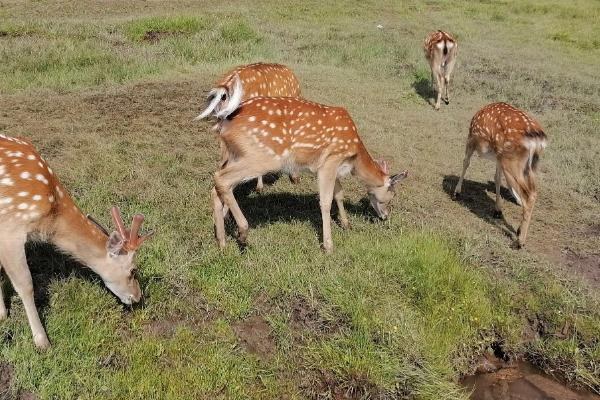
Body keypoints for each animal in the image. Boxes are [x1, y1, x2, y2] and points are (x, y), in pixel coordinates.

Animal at [0, 134, 152, 346]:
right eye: (133, 270)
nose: (138, 297)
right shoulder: (10, 227)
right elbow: (26, 284)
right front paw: (42, 342)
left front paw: (2, 315)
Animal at [210, 95, 408, 252]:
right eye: (391, 196)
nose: (385, 216)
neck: (354, 157)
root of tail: (223, 123)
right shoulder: (330, 160)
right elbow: (325, 202)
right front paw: (328, 245)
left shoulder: (330, 166)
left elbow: (339, 194)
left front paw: (346, 224)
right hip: (262, 156)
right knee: (221, 178)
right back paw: (242, 233)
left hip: (234, 155)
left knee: (216, 186)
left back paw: (222, 242)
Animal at [454, 103, 548, 247]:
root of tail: (537, 140)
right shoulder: (498, 158)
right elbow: (497, 178)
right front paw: (497, 210)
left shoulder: (471, 139)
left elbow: (466, 162)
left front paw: (457, 192)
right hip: (529, 164)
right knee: (532, 191)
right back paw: (519, 230)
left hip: (510, 159)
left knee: (529, 194)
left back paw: (519, 242)